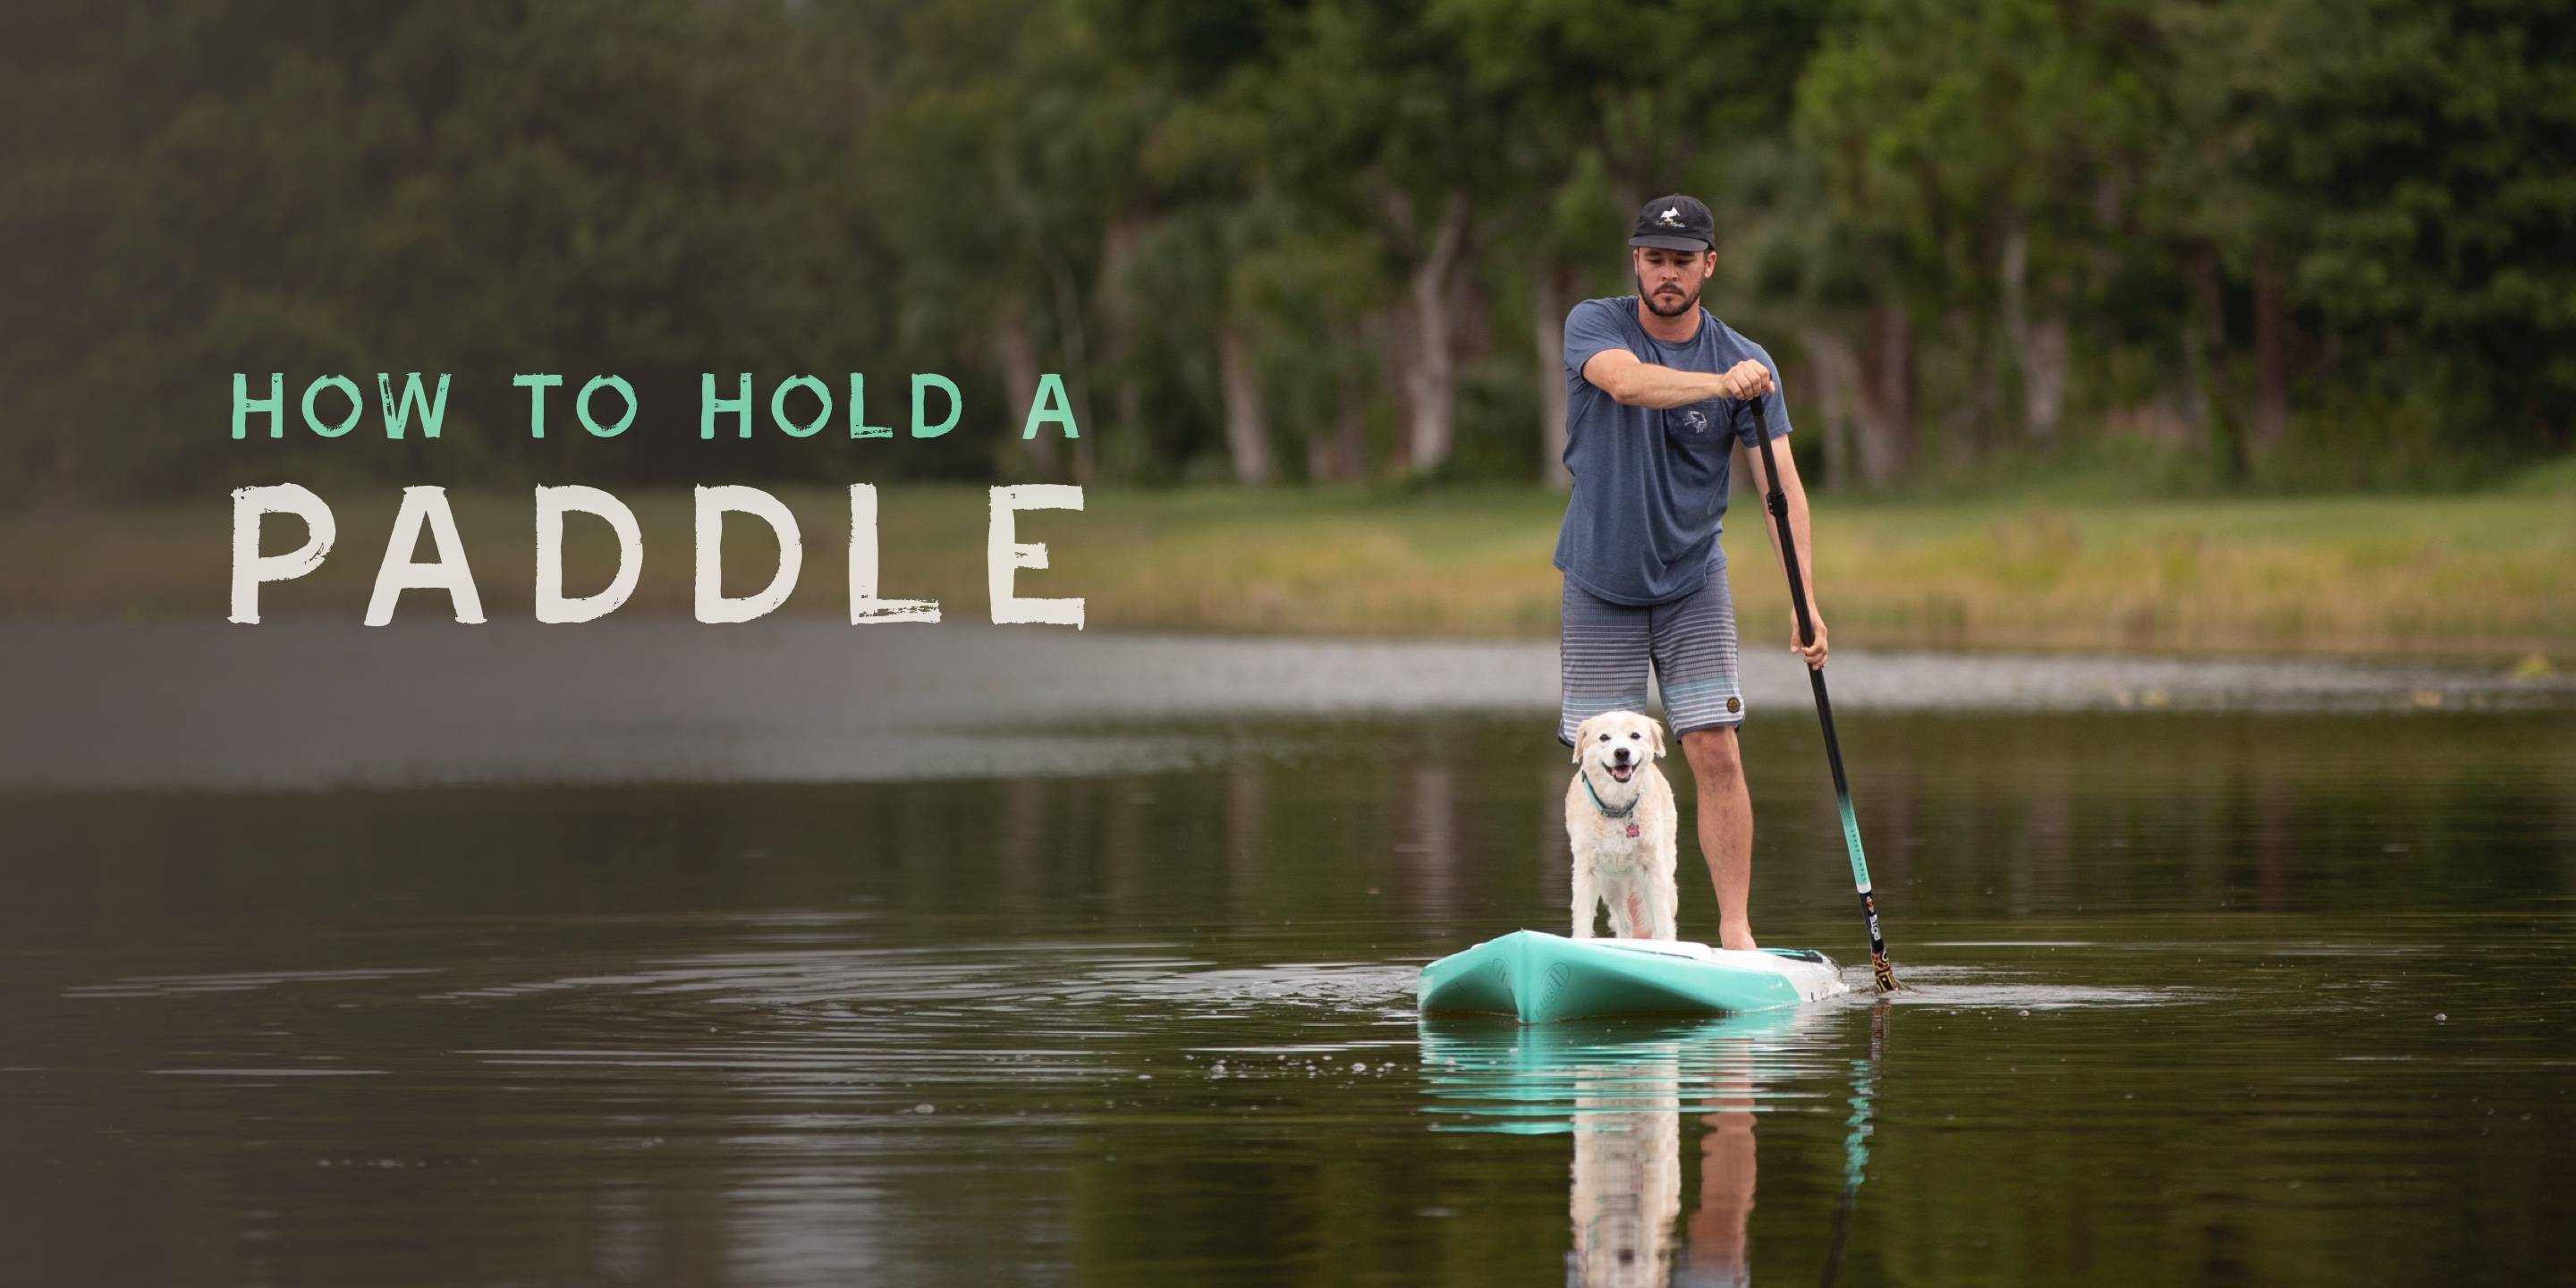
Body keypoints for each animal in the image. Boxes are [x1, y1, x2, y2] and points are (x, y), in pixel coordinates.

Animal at [1555, 710, 1679, 943]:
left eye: (1635, 735)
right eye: (1604, 737)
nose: (1622, 752)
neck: (1618, 809)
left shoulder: (1652, 869)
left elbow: (1662, 920)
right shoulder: (1587, 869)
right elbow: (1582, 917)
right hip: (1612, 884)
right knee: (1624, 922)